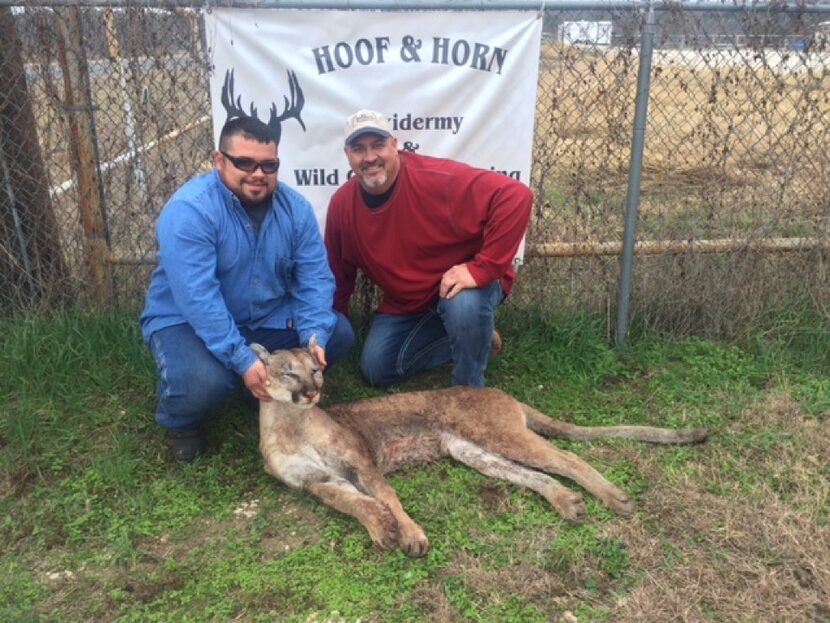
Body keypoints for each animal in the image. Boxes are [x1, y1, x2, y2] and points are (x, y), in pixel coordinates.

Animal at [250, 338, 704, 560]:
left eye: (316, 369)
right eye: (289, 372)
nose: (313, 391)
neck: (292, 423)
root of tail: (500, 393)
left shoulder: (359, 461)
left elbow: (388, 497)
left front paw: (410, 534)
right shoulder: (316, 481)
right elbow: (354, 503)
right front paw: (380, 527)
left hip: (495, 434)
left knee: (566, 458)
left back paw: (612, 497)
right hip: (474, 451)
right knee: (534, 474)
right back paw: (568, 503)